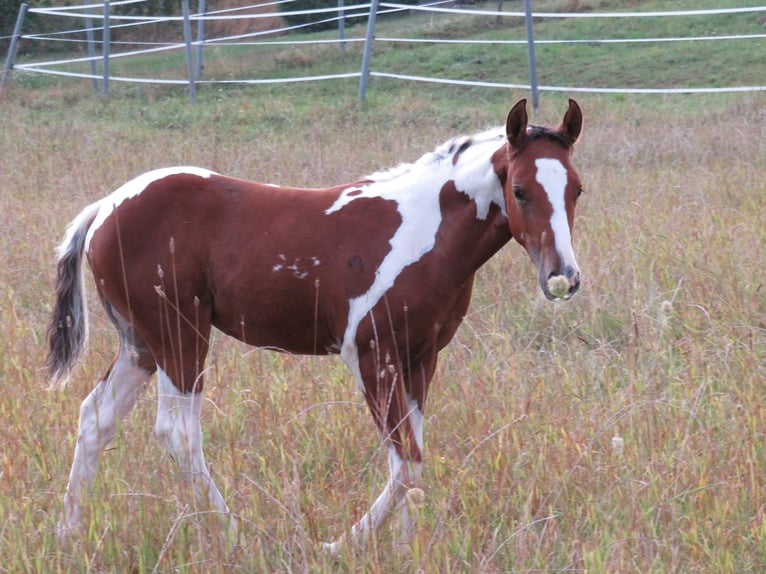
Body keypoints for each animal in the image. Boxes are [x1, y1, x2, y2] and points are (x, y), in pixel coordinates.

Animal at [47, 98, 584, 552]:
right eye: (519, 190)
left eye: (577, 189)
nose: (563, 277)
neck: (424, 230)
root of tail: (104, 208)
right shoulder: (371, 355)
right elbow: (406, 462)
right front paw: (338, 545)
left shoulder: (421, 358)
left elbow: (414, 457)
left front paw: (405, 547)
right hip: (179, 335)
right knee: (177, 433)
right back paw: (238, 534)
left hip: (141, 344)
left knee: (95, 417)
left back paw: (69, 532)